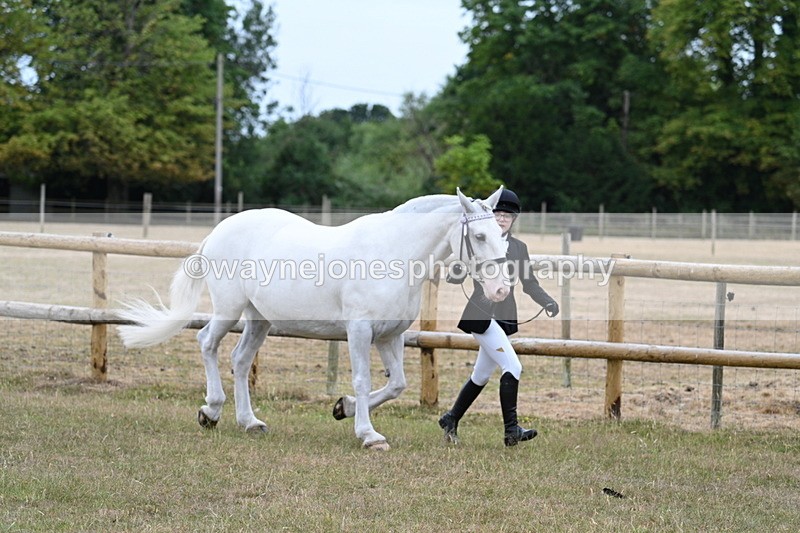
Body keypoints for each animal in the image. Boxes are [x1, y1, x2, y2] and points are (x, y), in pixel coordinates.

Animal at [118, 187, 511, 450]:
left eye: (501, 235)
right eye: (479, 235)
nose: (500, 291)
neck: (393, 253)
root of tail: (218, 231)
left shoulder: (390, 335)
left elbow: (397, 384)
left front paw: (343, 408)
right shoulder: (359, 331)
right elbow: (363, 380)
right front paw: (369, 435)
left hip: (259, 319)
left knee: (240, 360)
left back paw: (250, 422)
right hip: (228, 308)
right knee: (207, 344)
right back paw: (211, 411)